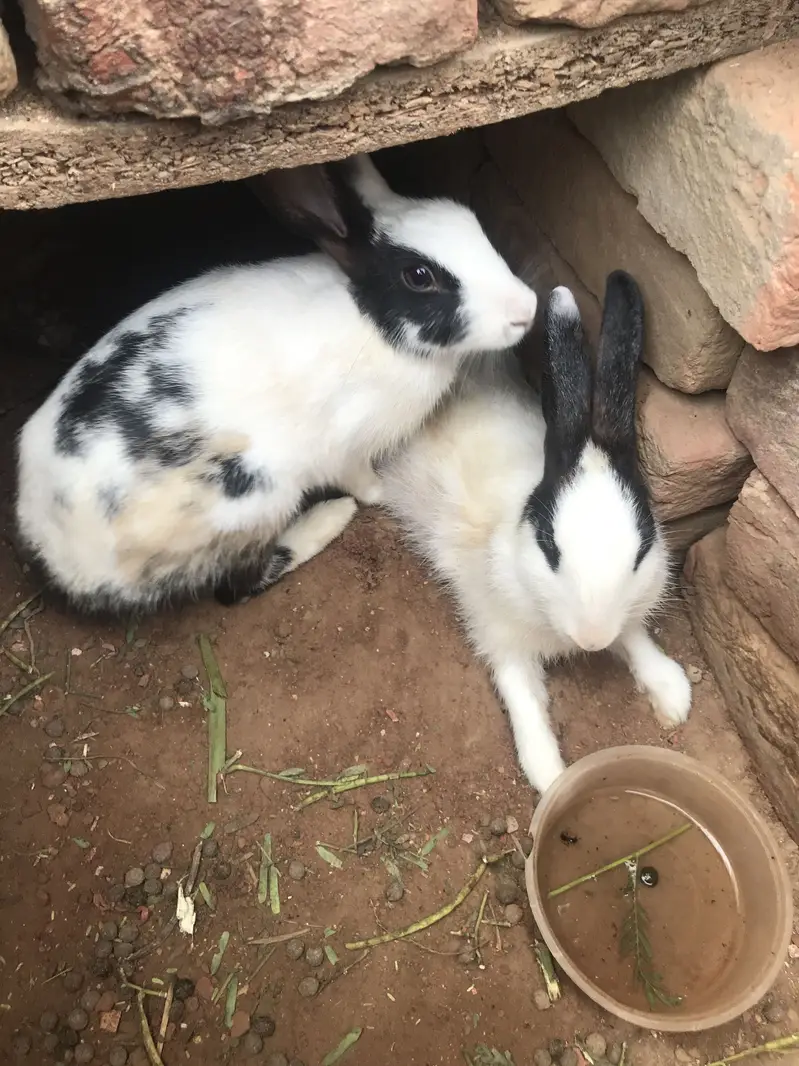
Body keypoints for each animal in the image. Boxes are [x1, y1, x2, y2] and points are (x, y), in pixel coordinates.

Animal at [15, 154, 538, 614]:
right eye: (419, 276)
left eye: (468, 219)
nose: (527, 309)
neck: (373, 322)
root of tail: (58, 555)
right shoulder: (347, 445)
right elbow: (362, 481)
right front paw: (379, 494)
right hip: (256, 496)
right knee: (237, 587)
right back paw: (328, 520)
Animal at [379, 271, 692, 794]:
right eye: (550, 549)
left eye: (641, 549)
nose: (592, 638)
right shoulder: (498, 631)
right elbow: (522, 695)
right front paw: (550, 774)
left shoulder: (629, 608)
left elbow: (634, 635)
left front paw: (672, 692)